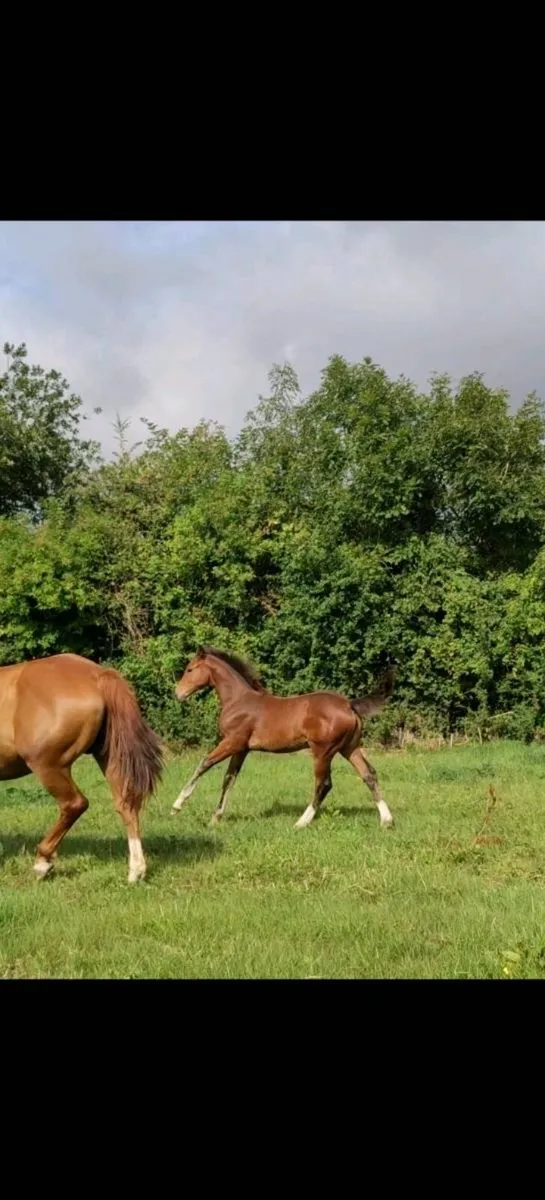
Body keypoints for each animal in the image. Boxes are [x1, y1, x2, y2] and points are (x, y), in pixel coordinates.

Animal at [0, 652, 163, 882]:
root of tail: (96, 674)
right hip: (109, 758)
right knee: (126, 804)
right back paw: (136, 871)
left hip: (49, 767)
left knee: (74, 804)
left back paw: (42, 863)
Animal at [171, 645, 395, 830]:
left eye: (190, 669)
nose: (178, 693)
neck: (238, 700)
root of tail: (349, 704)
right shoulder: (242, 748)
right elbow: (229, 779)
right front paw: (215, 818)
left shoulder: (232, 742)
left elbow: (204, 763)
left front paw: (177, 805)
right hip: (349, 747)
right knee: (369, 774)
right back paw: (386, 820)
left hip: (323, 751)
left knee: (324, 784)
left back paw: (301, 822)